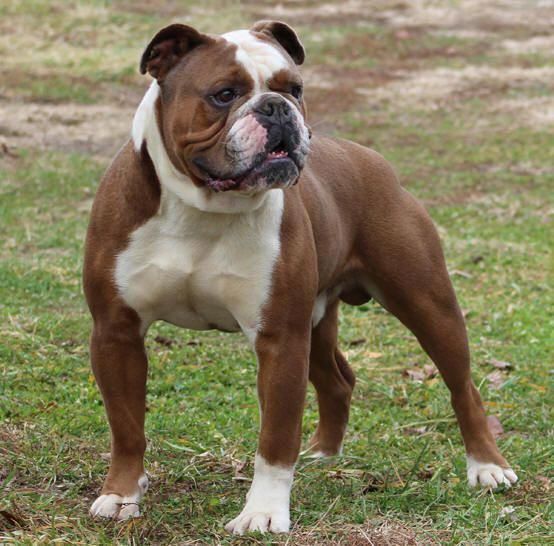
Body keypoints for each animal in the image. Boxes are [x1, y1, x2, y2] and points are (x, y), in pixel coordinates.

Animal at [84, 20, 516, 532]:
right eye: (224, 94)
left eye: (295, 88)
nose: (276, 108)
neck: (202, 209)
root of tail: (372, 160)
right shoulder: (117, 333)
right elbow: (126, 426)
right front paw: (121, 495)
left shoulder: (280, 339)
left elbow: (275, 437)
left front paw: (263, 512)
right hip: (317, 319)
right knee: (337, 380)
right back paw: (323, 455)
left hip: (427, 304)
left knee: (463, 388)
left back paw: (487, 467)